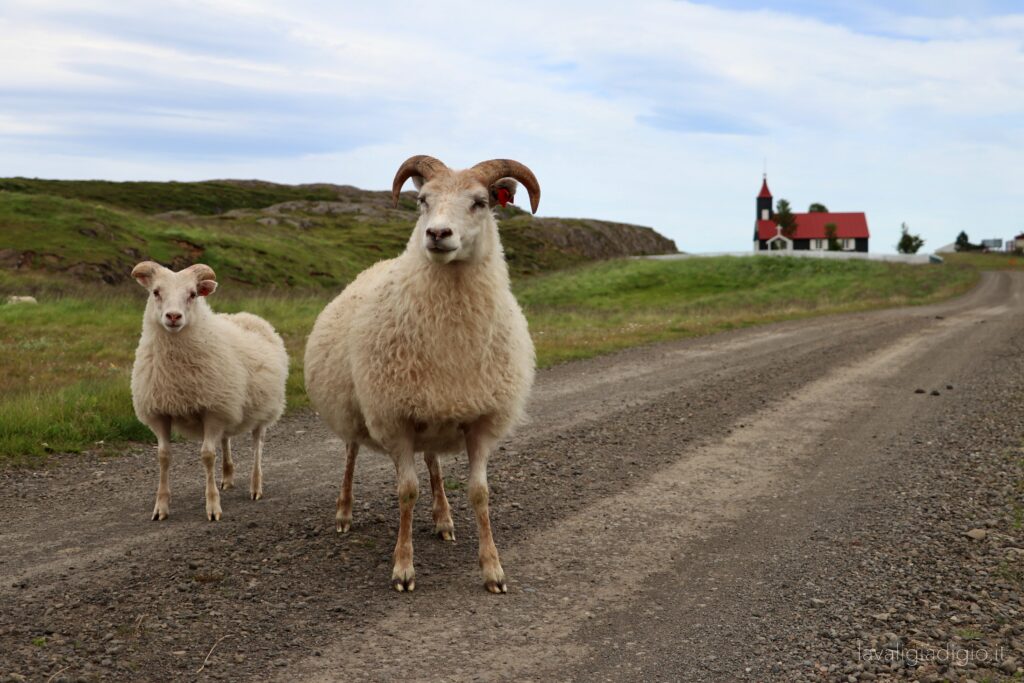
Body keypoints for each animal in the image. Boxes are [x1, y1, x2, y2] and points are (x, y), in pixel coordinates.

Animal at [130, 261, 288, 521]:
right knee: (225, 438)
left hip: (264, 409)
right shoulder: (161, 412)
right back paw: (227, 476)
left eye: (193, 294)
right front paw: (161, 507)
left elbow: (207, 455)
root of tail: (246, 315)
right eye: (156, 292)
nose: (173, 316)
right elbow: (163, 456)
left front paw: (213, 506)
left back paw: (255, 486)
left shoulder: (212, 411)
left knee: (257, 444)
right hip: (227, 401)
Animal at [304, 155, 540, 593]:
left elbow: (480, 493)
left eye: (480, 202)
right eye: (422, 200)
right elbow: (406, 493)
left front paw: (492, 569)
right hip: (354, 408)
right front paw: (403, 567)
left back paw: (443, 518)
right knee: (351, 453)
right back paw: (344, 513)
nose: (437, 234)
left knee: (432, 462)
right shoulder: (395, 420)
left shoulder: (480, 420)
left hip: (433, 409)